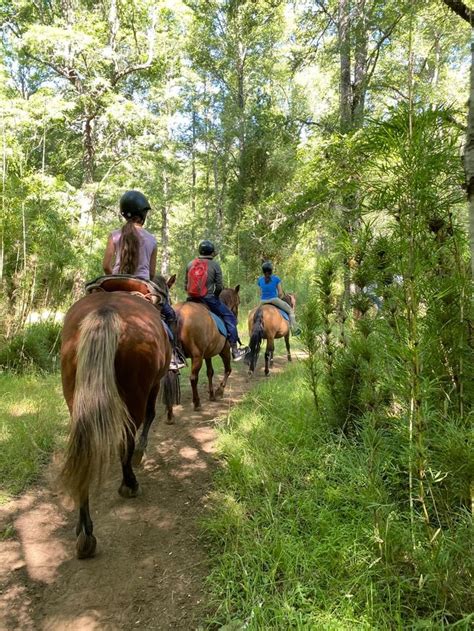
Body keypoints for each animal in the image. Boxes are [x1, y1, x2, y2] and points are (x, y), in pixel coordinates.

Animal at [60, 288, 173, 560]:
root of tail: (106, 310)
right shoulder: (155, 385)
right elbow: (151, 415)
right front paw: (141, 453)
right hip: (136, 394)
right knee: (126, 440)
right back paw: (129, 484)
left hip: (75, 397)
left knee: (85, 450)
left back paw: (84, 531)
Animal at [172, 286, 241, 414]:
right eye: (238, 302)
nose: (236, 319)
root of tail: (179, 312)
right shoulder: (224, 350)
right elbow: (228, 370)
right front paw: (219, 391)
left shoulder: (207, 354)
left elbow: (210, 372)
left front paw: (212, 394)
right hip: (197, 357)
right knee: (193, 378)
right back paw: (197, 403)